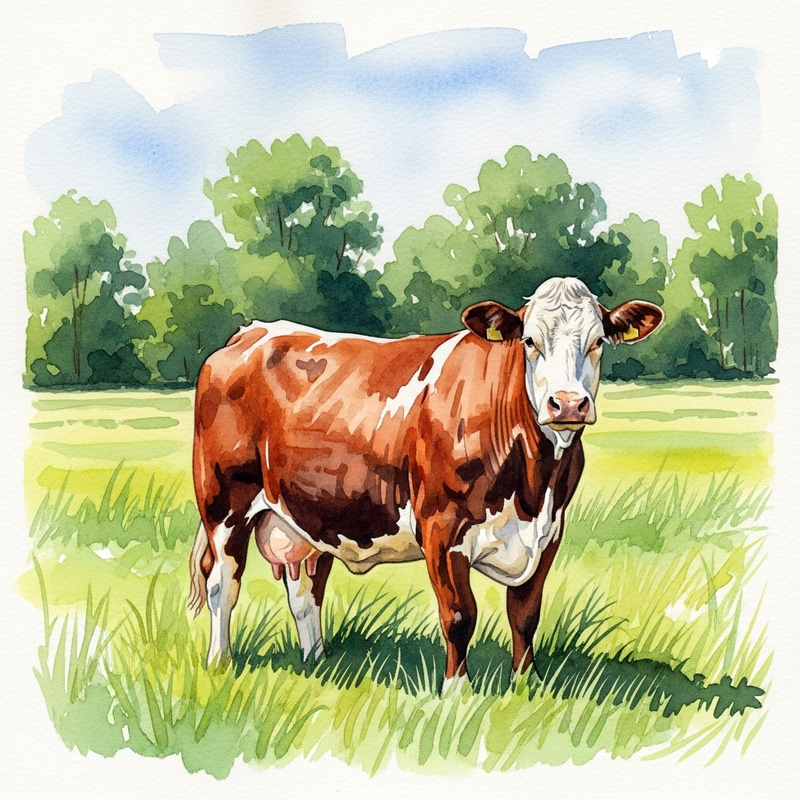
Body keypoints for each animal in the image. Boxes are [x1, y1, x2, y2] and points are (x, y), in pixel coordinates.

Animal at [187, 277, 662, 683]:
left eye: (598, 341)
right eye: (530, 341)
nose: (567, 404)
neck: (532, 483)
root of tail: (252, 333)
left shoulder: (549, 532)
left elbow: (525, 616)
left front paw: (525, 686)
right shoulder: (441, 526)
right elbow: (459, 616)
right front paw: (457, 693)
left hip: (308, 515)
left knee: (304, 590)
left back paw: (317, 664)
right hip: (224, 502)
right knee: (222, 582)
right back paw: (219, 663)